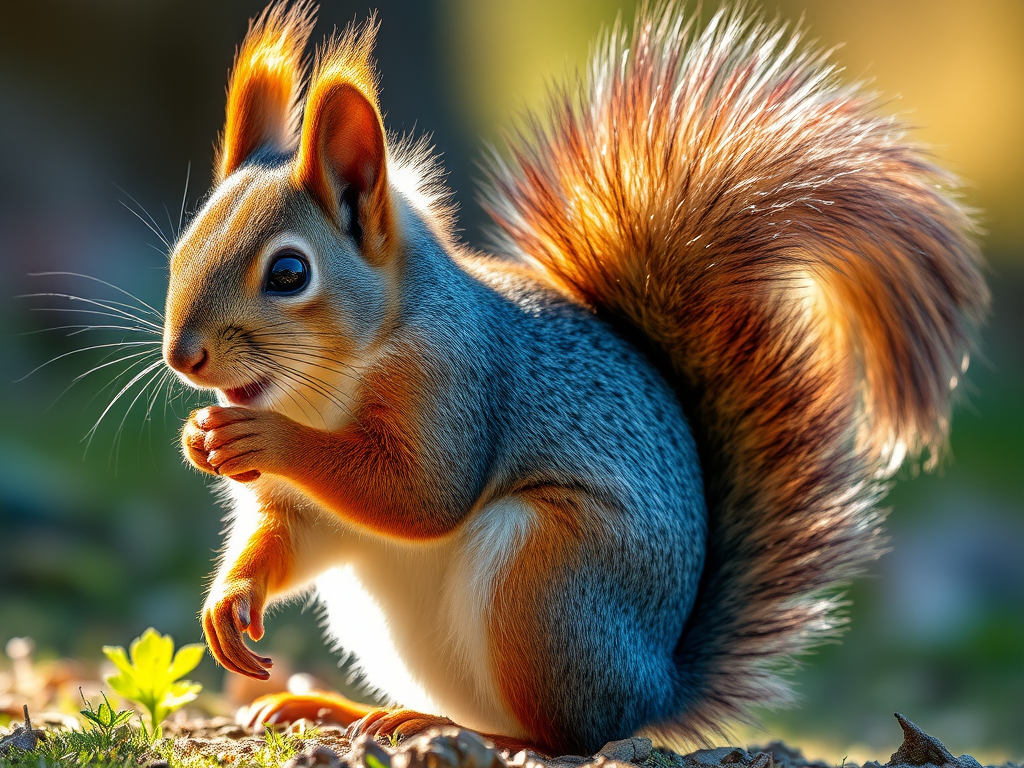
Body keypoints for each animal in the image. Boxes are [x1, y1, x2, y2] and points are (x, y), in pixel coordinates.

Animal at [161, 0, 988, 756]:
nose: (182, 357)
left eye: (290, 273)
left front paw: (258, 436)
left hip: (543, 581)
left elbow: (420, 494)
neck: (329, 384)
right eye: (182, 247)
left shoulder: (456, 383)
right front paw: (227, 590)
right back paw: (342, 707)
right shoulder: (305, 511)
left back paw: (448, 728)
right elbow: (288, 534)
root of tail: (654, 685)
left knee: (560, 734)